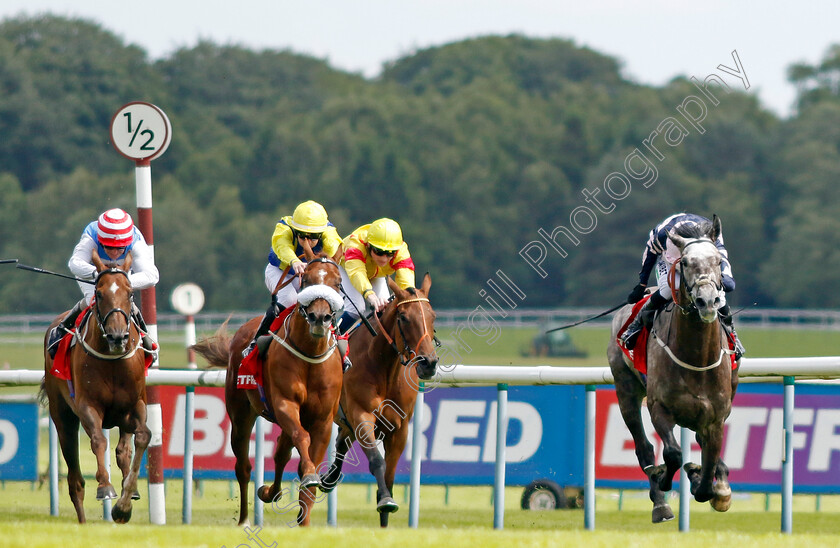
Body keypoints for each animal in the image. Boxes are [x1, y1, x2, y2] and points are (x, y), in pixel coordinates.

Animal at [41, 253, 151, 524]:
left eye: (130, 293)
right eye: (99, 294)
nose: (117, 337)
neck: (112, 360)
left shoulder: (134, 406)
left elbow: (142, 437)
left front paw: (124, 503)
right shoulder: (87, 406)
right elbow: (98, 440)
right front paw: (105, 487)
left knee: (123, 450)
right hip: (63, 419)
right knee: (75, 481)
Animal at [192, 252, 342, 528]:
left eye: (337, 283)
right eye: (306, 279)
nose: (319, 317)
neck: (310, 353)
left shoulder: (323, 419)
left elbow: (307, 461)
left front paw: (305, 521)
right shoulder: (285, 404)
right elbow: (302, 439)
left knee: (282, 451)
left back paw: (271, 492)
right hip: (240, 414)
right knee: (243, 466)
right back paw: (244, 519)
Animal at [322, 274, 440, 528]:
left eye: (432, 315)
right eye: (404, 318)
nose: (428, 363)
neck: (383, 367)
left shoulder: (399, 428)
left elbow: (390, 474)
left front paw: (385, 513)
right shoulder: (361, 416)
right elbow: (377, 460)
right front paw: (385, 499)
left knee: (342, 441)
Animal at [608, 217, 740, 524]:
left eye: (718, 261)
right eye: (686, 262)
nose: (707, 301)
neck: (697, 358)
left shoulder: (716, 417)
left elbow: (706, 475)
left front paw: (713, 486)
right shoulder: (660, 407)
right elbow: (672, 454)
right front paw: (665, 478)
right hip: (626, 389)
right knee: (644, 448)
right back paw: (660, 504)